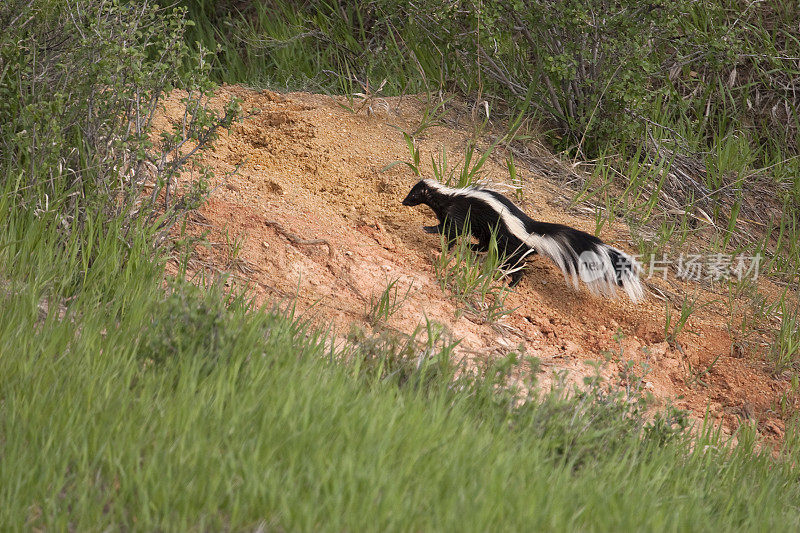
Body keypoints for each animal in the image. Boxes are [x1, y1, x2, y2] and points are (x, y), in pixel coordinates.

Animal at [400, 179, 644, 302]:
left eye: (413, 195)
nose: (403, 202)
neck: (447, 196)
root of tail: (532, 231)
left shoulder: (458, 212)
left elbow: (451, 230)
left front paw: (429, 230)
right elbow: (451, 233)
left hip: (508, 243)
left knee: (517, 266)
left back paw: (511, 283)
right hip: (494, 236)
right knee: (485, 243)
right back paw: (474, 248)